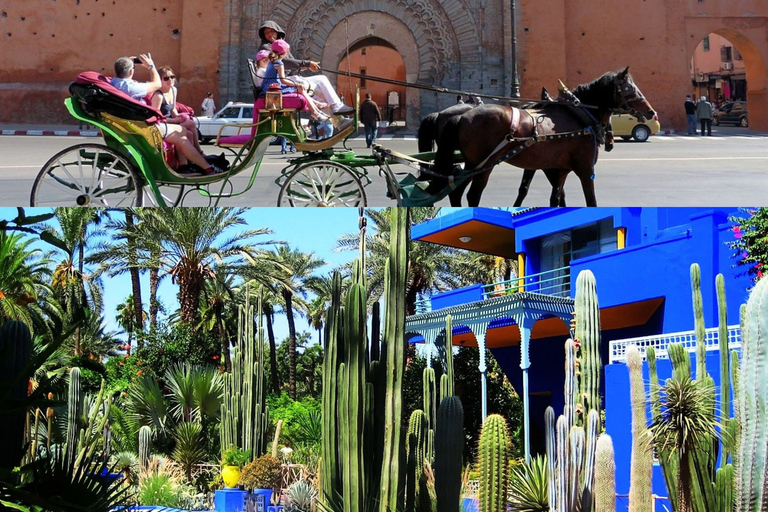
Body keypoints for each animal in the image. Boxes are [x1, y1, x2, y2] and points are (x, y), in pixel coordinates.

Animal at [426, 67, 656, 206]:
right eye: (630, 90)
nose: (651, 112)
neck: (580, 115)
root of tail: (463, 116)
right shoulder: (585, 169)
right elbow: (590, 201)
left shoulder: (559, 169)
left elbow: (555, 198)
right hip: (484, 164)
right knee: (473, 195)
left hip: (473, 164)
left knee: (455, 191)